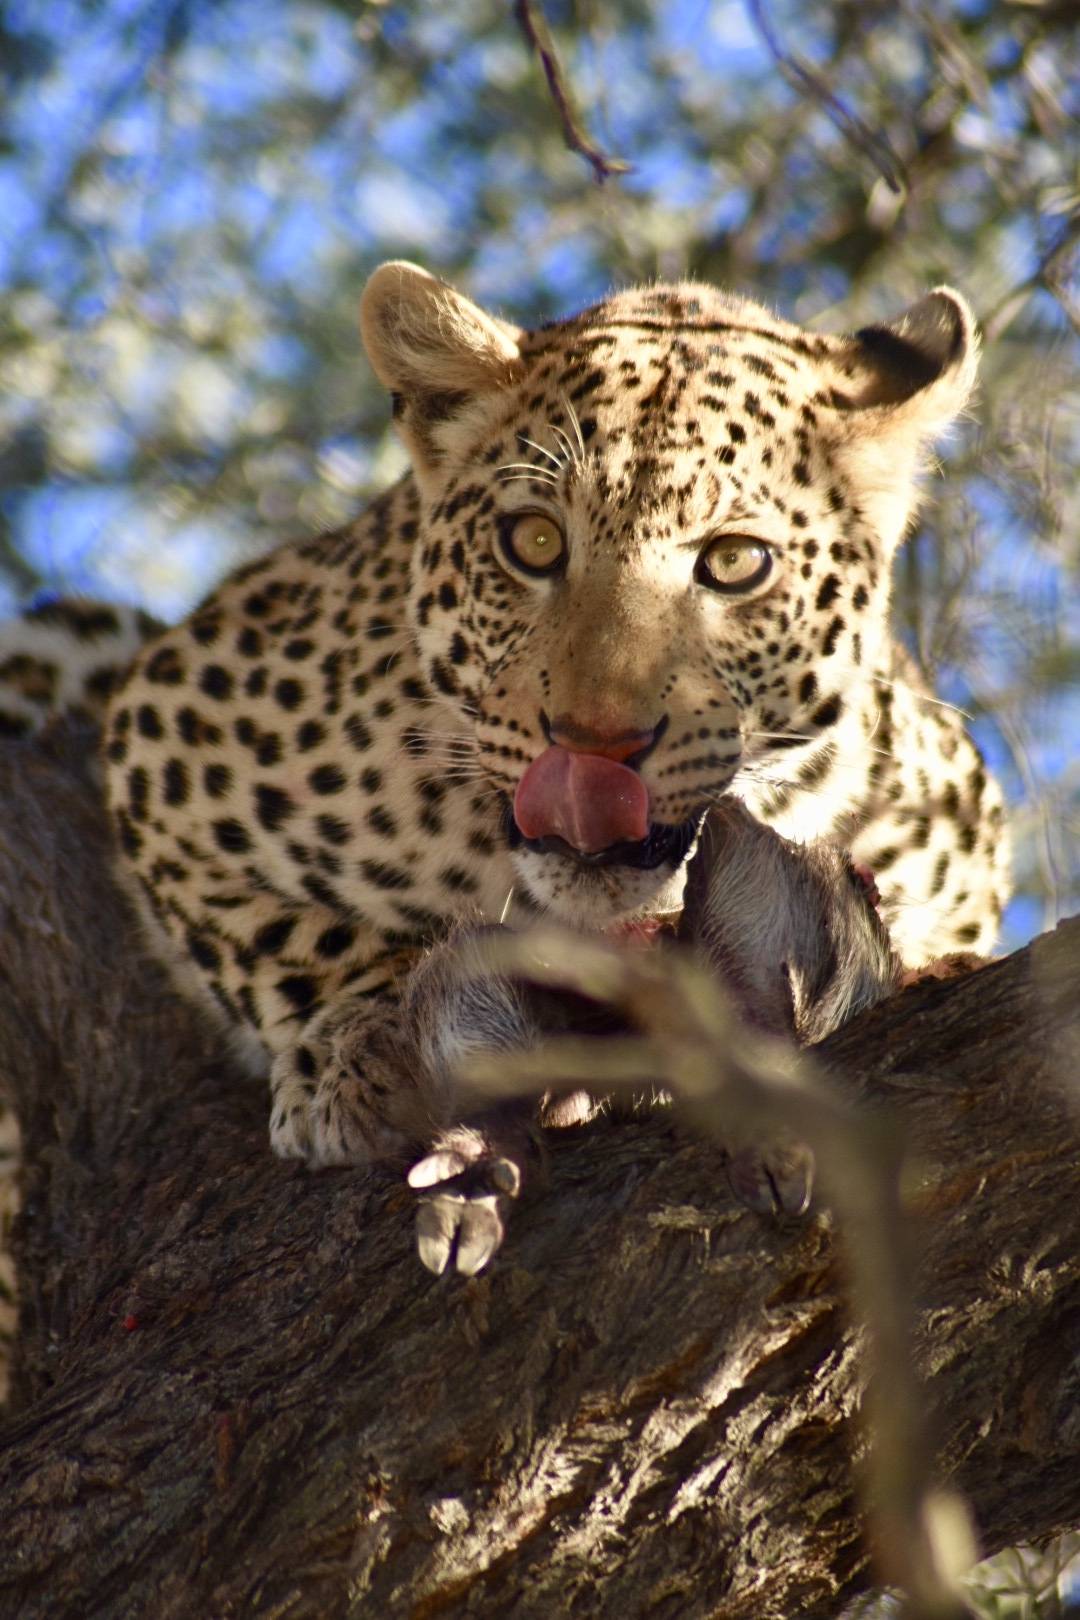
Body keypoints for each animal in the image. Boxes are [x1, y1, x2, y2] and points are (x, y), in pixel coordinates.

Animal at [2, 262, 1016, 1276]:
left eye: (735, 562)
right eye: (532, 542)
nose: (595, 743)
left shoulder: (958, 815)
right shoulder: (169, 719)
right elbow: (284, 936)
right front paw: (360, 1044)